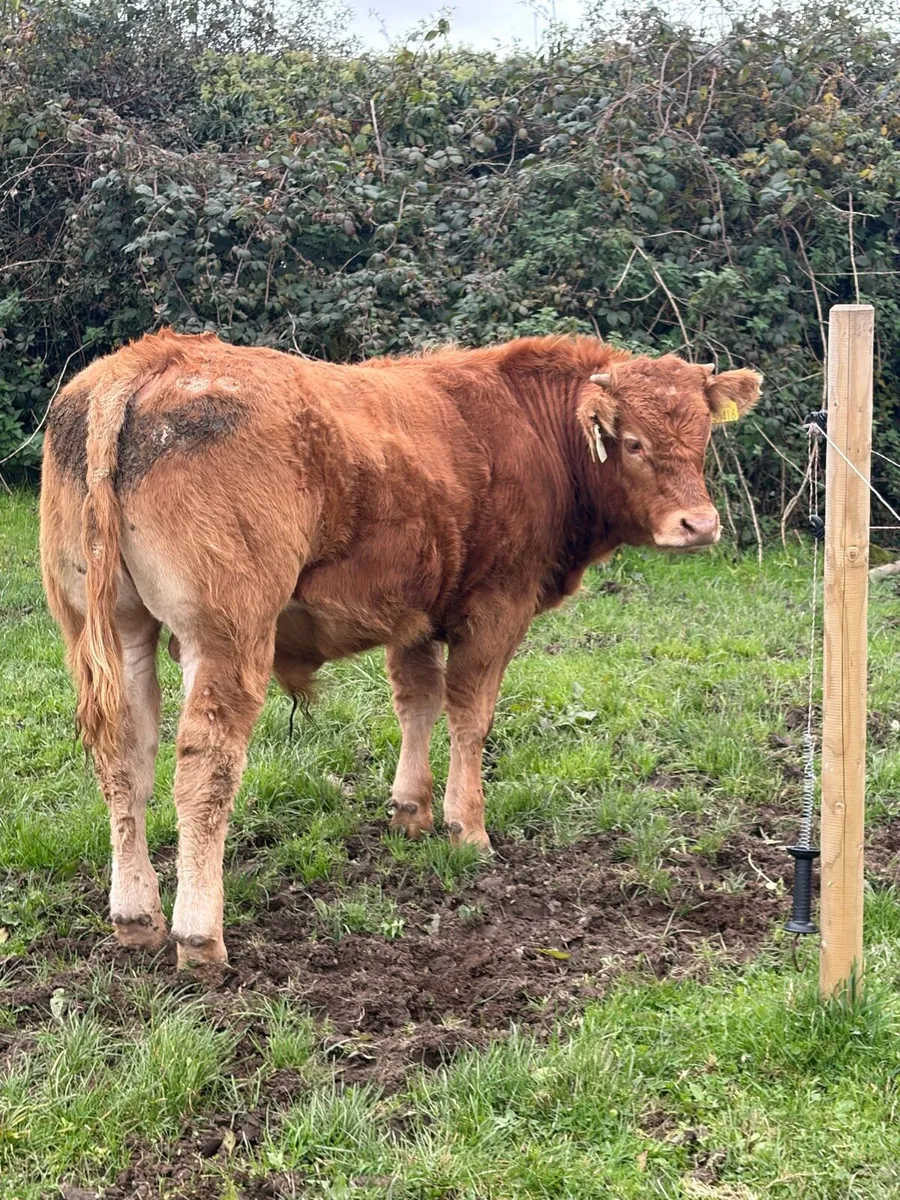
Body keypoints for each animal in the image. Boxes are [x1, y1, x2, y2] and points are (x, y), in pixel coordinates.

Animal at [39, 330, 760, 969]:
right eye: (633, 441)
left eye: (703, 437)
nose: (699, 525)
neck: (526, 425)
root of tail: (152, 357)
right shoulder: (497, 609)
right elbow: (470, 715)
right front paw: (467, 828)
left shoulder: (411, 615)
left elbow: (417, 701)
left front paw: (410, 810)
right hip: (226, 634)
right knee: (204, 770)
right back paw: (199, 936)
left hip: (115, 630)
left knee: (125, 758)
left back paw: (137, 917)